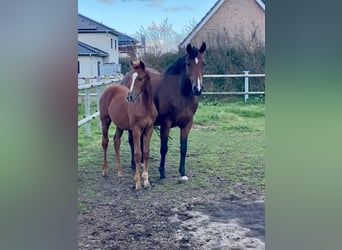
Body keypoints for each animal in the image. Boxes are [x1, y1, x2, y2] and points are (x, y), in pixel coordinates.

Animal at [99, 60, 158, 189]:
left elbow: (146, 153)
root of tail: (108, 88)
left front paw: (146, 181)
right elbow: (137, 154)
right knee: (105, 142)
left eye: (140, 78)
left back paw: (120, 172)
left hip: (119, 125)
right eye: (131, 78)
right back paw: (104, 171)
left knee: (116, 142)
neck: (145, 106)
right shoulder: (136, 130)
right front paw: (137, 183)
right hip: (105, 121)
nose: (129, 97)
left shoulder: (149, 129)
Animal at [123, 43, 206, 183]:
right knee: (131, 141)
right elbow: (164, 148)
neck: (181, 95)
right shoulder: (166, 124)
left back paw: (141, 163)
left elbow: (183, 148)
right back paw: (134, 164)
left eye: (203, 64)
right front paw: (162, 172)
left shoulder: (187, 124)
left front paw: (182, 173)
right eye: (188, 64)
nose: (197, 89)